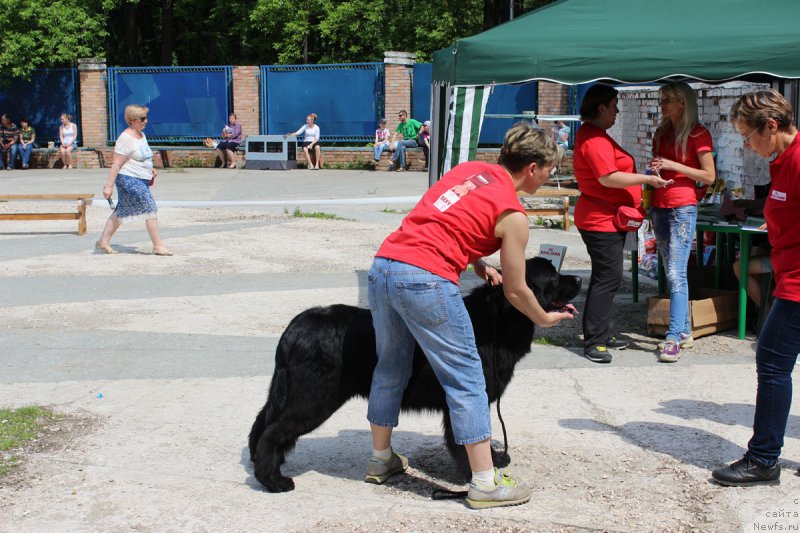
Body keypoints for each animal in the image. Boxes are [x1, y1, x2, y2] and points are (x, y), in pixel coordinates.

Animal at [247, 256, 580, 490]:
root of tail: (295, 328)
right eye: (553, 276)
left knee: (262, 423)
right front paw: (472, 474)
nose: (578, 277)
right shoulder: (466, 392)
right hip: (315, 398)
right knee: (272, 432)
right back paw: (274, 482)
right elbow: (465, 437)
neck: (498, 320)